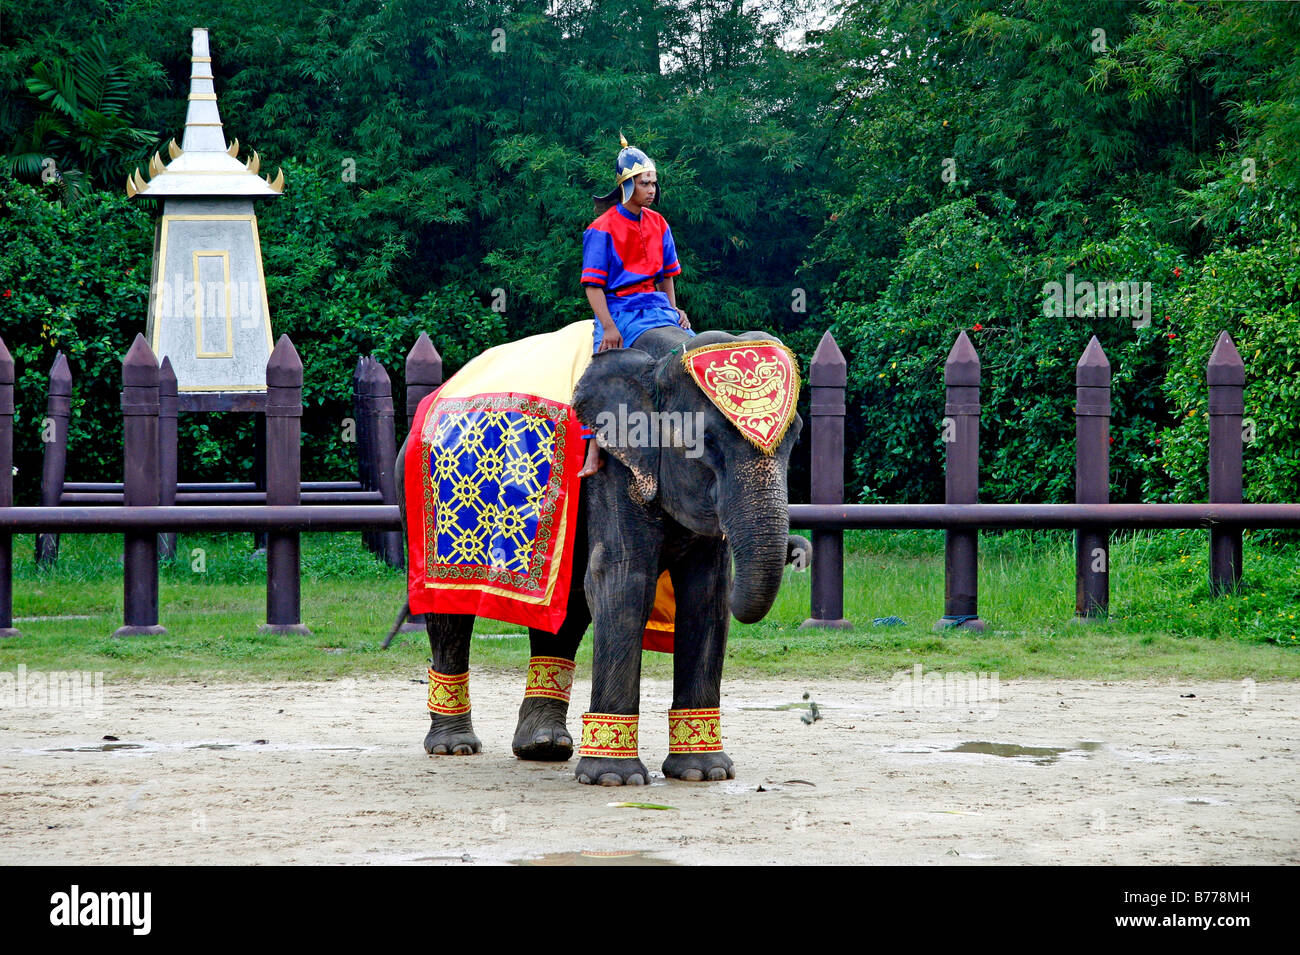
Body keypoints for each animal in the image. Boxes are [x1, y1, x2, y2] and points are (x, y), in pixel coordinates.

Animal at [395, 323, 803, 785]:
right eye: (704, 441)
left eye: (796, 438)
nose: (795, 552)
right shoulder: (610, 465)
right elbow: (624, 582)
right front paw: (615, 778)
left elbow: (706, 593)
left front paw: (704, 772)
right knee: (447, 609)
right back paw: (455, 747)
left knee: (567, 609)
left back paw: (544, 747)